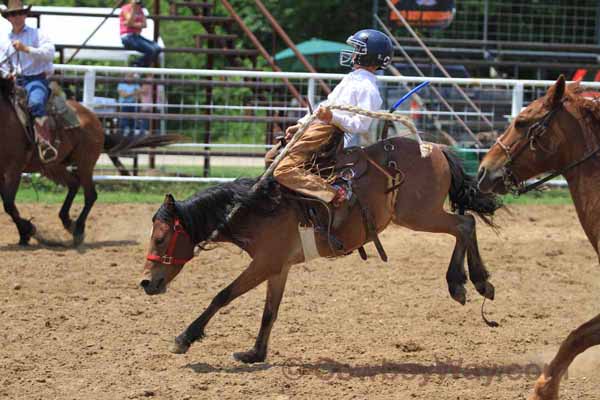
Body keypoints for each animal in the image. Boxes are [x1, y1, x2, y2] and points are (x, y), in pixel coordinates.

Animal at [139, 136, 502, 364]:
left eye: (160, 238)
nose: (146, 282)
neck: (255, 207)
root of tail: (435, 149)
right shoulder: (278, 267)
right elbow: (270, 311)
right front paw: (254, 354)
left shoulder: (263, 263)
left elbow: (222, 295)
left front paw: (185, 338)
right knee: (467, 223)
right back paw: (478, 282)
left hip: (419, 214)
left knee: (464, 224)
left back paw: (465, 282)